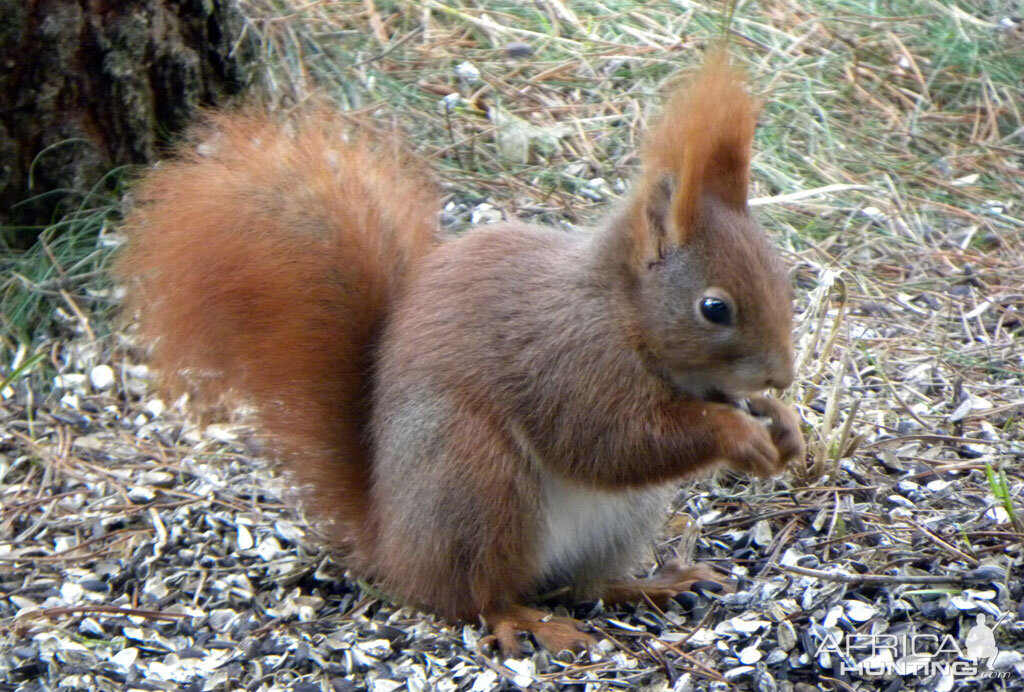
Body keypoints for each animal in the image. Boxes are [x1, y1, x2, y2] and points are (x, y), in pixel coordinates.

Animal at [116, 53, 802, 655]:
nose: (783, 376)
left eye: (781, 272)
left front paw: (783, 425)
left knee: (582, 583)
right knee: (474, 595)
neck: (620, 312)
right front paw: (738, 434)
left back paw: (650, 584)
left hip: (618, 519)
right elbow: (612, 441)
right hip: (474, 482)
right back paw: (525, 620)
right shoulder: (569, 361)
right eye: (714, 308)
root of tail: (393, 544)